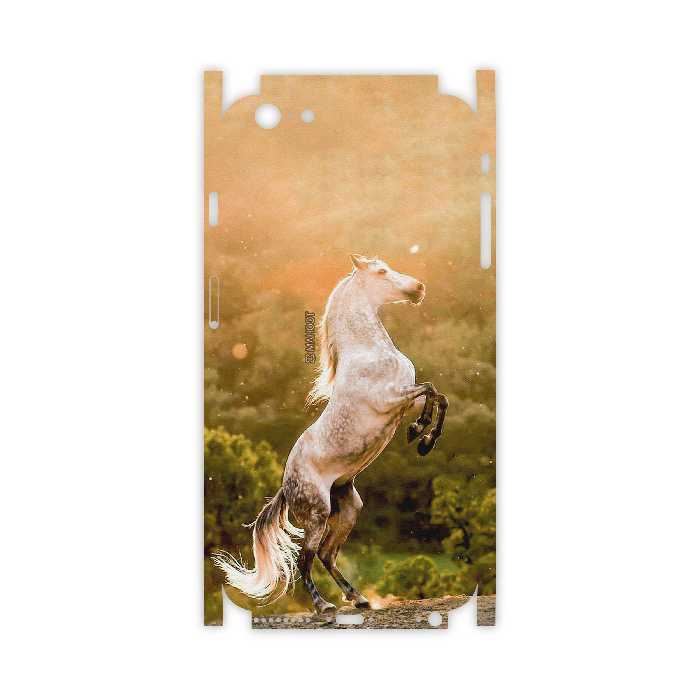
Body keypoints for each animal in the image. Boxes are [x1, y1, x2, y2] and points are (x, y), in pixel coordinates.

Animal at [212, 254, 449, 613]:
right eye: (382, 271)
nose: (419, 288)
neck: (369, 351)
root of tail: (285, 487)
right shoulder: (391, 399)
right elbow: (431, 389)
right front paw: (418, 434)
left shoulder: (406, 399)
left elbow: (439, 397)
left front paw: (423, 439)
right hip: (317, 513)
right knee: (306, 558)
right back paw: (323, 605)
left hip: (348, 508)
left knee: (326, 554)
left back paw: (359, 598)